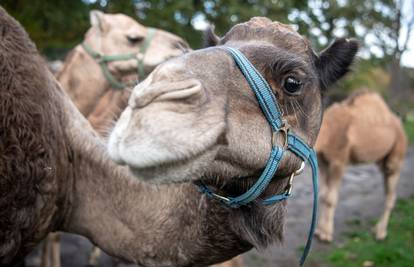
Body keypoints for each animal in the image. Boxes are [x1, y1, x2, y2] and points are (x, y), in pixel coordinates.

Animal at [314, 91, 408, 243]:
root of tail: (399, 123)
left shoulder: (339, 161)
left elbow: (330, 198)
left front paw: (326, 234)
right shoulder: (323, 161)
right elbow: (323, 195)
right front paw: (318, 231)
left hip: (397, 153)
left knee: (391, 193)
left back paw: (380, 233)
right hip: (382, 158)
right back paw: (377, 229)